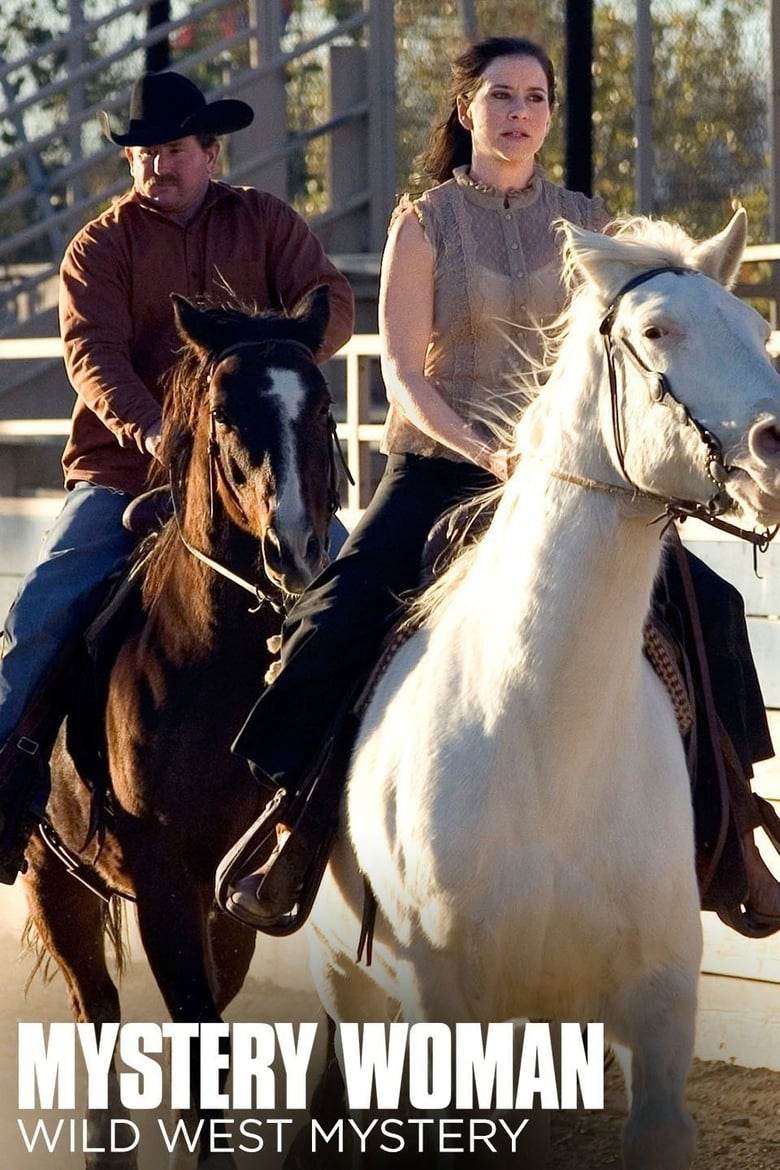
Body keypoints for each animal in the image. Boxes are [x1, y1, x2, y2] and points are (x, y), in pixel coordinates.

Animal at [20, 285, 339, 1170]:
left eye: (322, 404)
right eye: (224, 411)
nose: (294, 548)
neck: (215, 663)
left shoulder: (232, 890)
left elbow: (215, 1038)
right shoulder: (165, 881)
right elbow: (194, 1033)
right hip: (50, 877)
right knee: (94, 1008)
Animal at [308, 212, 780, 1170]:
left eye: (757, 331)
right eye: (656, 331)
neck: (543, 730)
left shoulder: (660, 1009)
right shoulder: (443, 1006)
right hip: (343, 977)